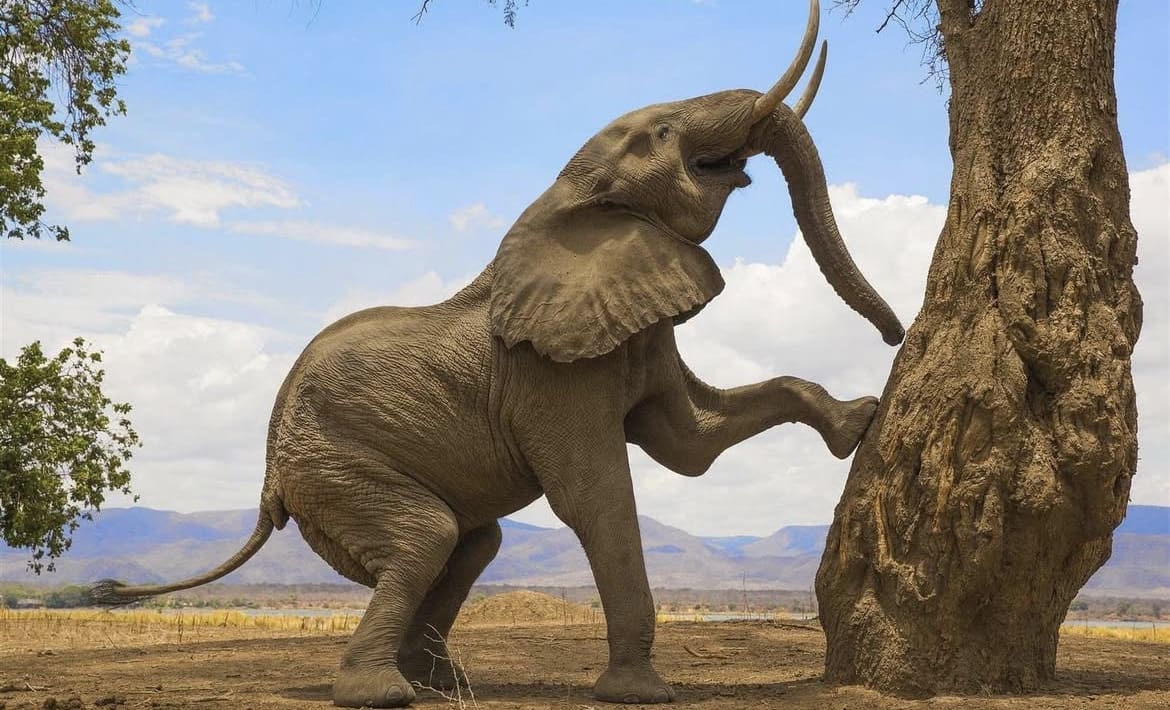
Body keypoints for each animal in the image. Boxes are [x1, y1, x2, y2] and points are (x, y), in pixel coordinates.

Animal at [95, 0, 903, 706]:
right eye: (666, 130)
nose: (896, 334)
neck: (567, 197)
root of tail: (267, 476)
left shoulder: (631, 328)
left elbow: (691, 444)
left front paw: (858, 421)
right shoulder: (550, 373)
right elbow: (598, 495)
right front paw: (641, 692)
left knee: (471, 544)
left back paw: (439, 684)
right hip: (332, 465)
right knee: (427, 538)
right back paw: (382, 693)